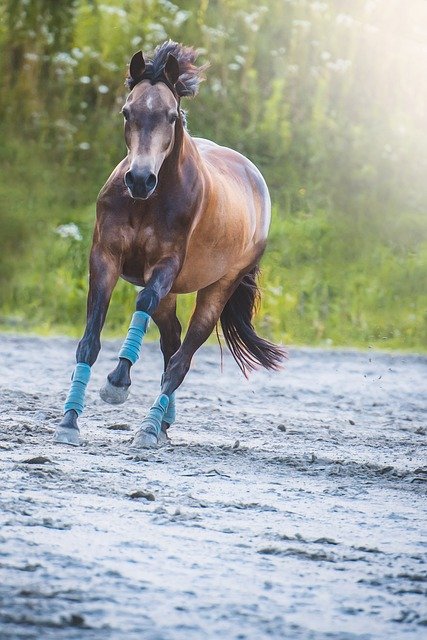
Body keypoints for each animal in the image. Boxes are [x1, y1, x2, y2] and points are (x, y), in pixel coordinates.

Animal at [55, 41, 286, 450]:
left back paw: (149, 428)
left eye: (171, 116)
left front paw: (117, 384)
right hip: (172, 293)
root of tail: (254, 178)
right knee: (171, 343)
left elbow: (142, 303)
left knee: (181, 358)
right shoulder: (104, 259)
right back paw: (162, 423)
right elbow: (89, 339)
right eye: (127, 112)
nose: (139, 179)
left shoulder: (164, 266)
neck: (147, 202)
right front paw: (69, 421)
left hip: (219, 287)